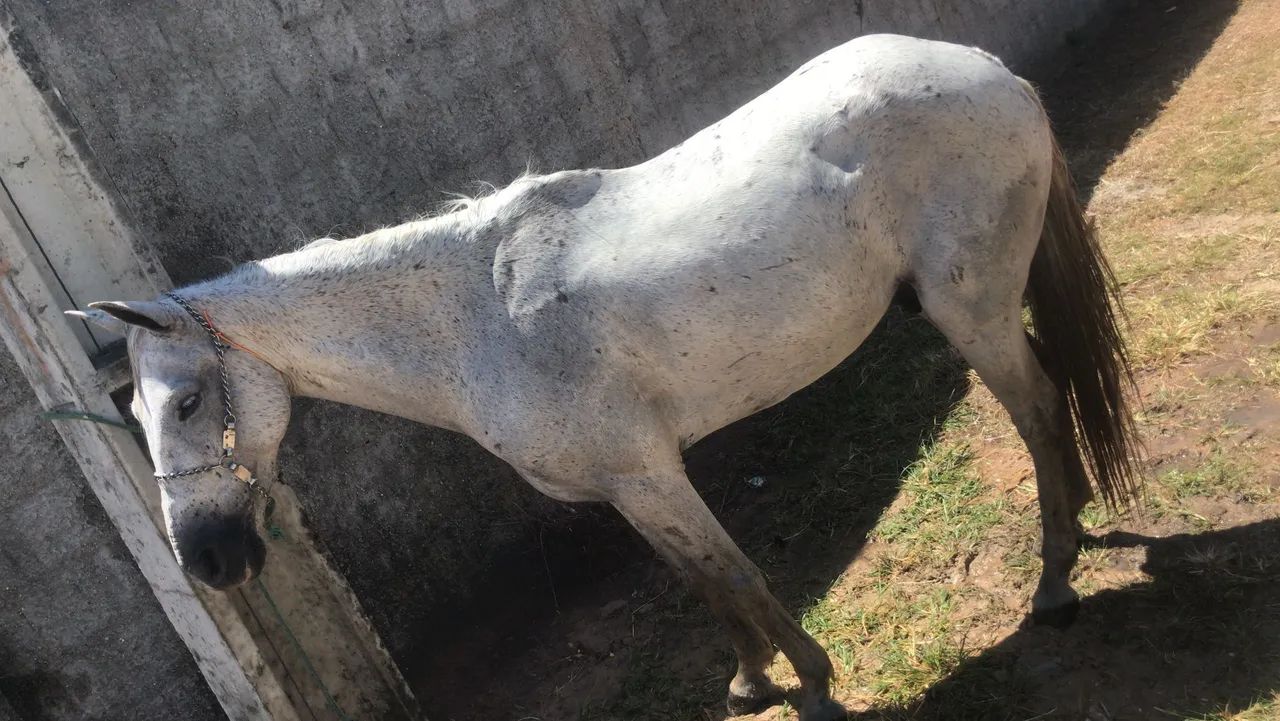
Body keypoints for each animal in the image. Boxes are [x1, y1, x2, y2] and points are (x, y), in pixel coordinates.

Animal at [72, 33, 1139, 720]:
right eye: (136, 418)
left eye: (190, 400)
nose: (209, 563)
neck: (476, 318)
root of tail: (990, 72)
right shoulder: (631, 487)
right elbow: (698, 582)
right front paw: (751, 682)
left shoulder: (648, 472)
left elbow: (735, 570)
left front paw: (814, 685)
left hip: (975, 311)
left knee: (1040, 409)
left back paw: (1055, 582)